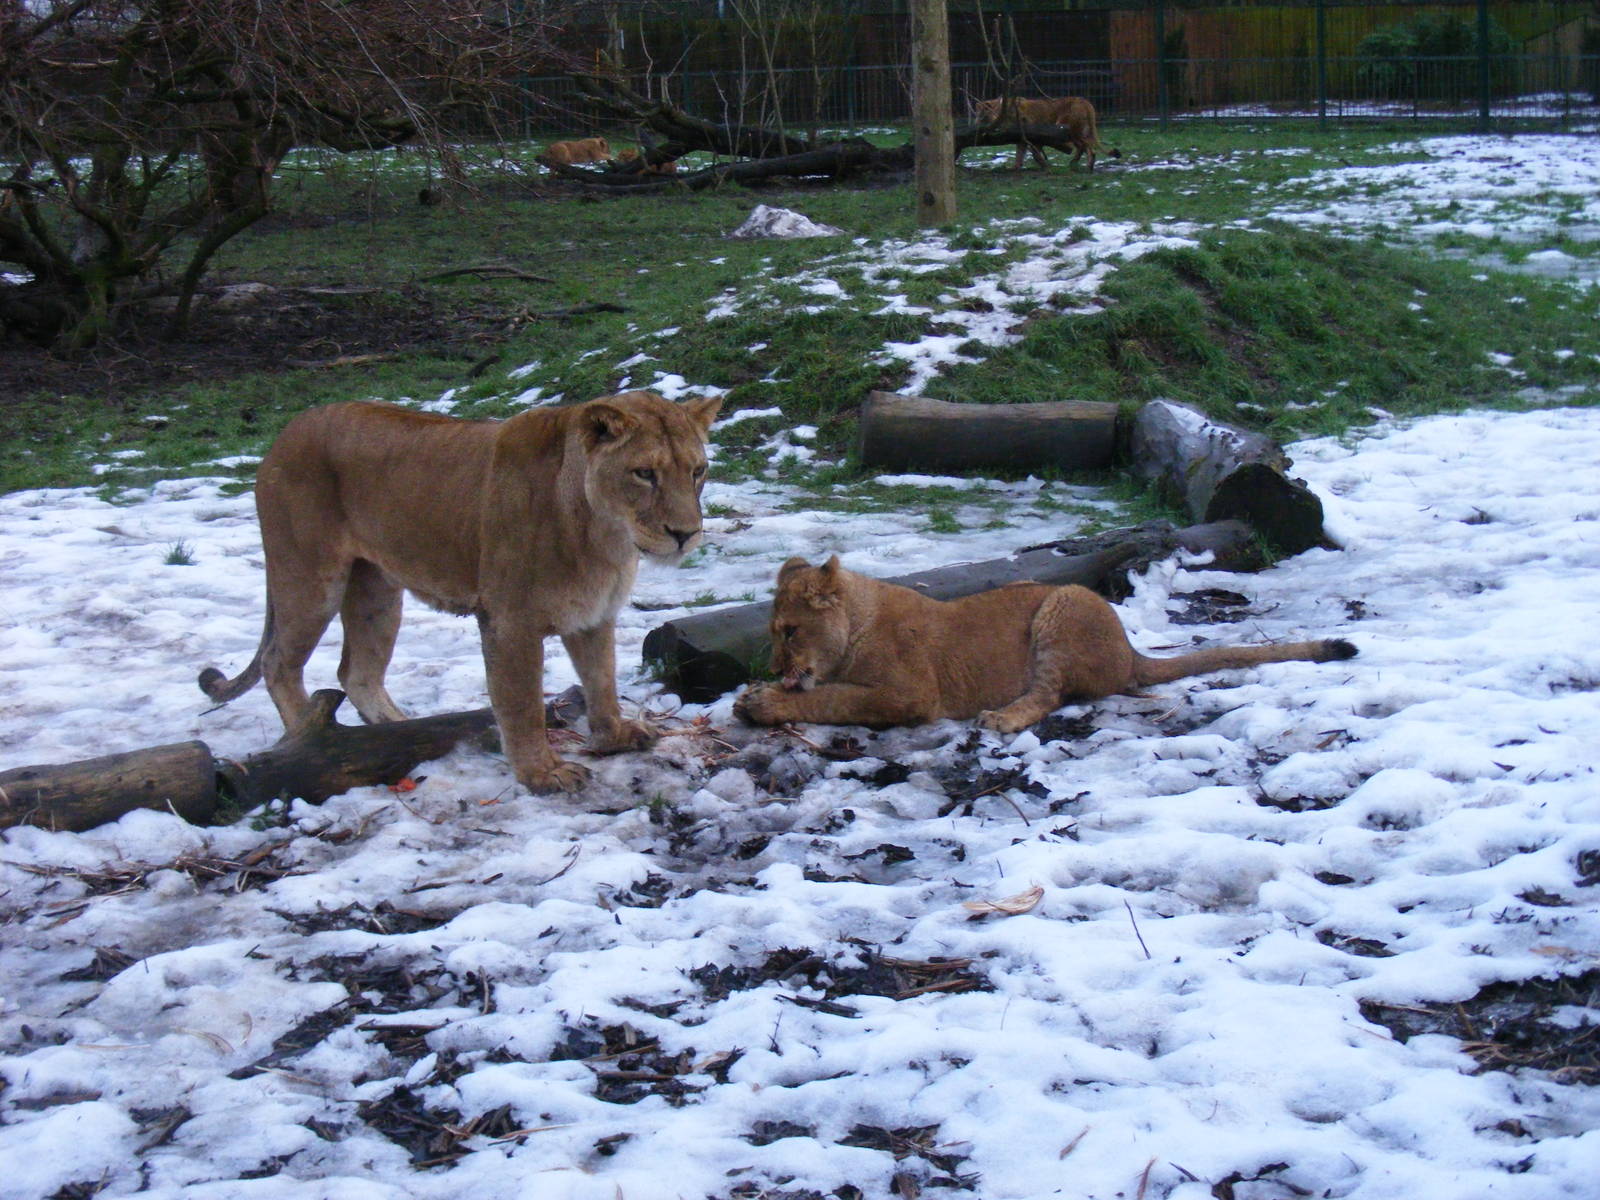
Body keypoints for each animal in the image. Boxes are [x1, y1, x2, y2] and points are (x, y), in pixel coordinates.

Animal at [199, 390, 722, 793]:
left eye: (697, 471)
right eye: (644, 473)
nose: (685, 533)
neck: (605, 536)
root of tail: (286, 431)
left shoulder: (593, 614)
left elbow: (602, 680)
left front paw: (613, 736)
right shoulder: (508, 622)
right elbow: (522, 704)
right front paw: (541, 774)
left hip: (376, 590)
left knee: (357, 671)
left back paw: (394, 734)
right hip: (309, 577)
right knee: (279, 664)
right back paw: (309, 743)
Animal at [733, 556, 1355, 734]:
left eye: (791, 631)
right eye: (771, 633)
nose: (775, 663)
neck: (857, 622)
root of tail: (1131, 649)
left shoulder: (911, 696)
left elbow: (833, 698)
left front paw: (761, 702)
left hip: (1063, 605)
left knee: (1051, 694)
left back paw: (1003, 718)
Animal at [974, 95, 1121, 171]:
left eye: (981, 115)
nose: (975, 123)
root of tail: (1083, 101)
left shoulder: (1028, 134)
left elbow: (1034, 152)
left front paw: (1043, 165)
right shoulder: (1020, 138)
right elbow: (1020, 154)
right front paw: (1015, 167)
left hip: (1067, 130)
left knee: (1086, 148)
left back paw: (1084, 166)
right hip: (1078, 131)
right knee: (1084, 147)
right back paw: (1078, 164)